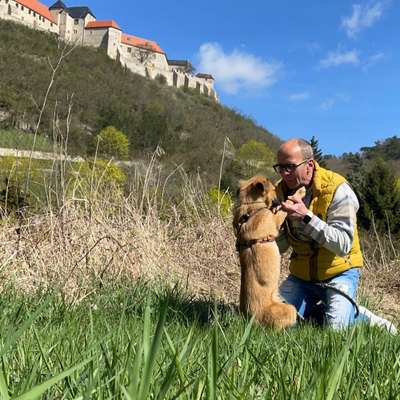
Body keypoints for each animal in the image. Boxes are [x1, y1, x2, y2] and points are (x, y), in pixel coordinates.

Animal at [233, 177, 302, 330]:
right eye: (274, 190)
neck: (250, 206)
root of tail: (251, 320)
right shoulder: (274, 217)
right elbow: (285, 207)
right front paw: (299, 192)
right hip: (290, 309)